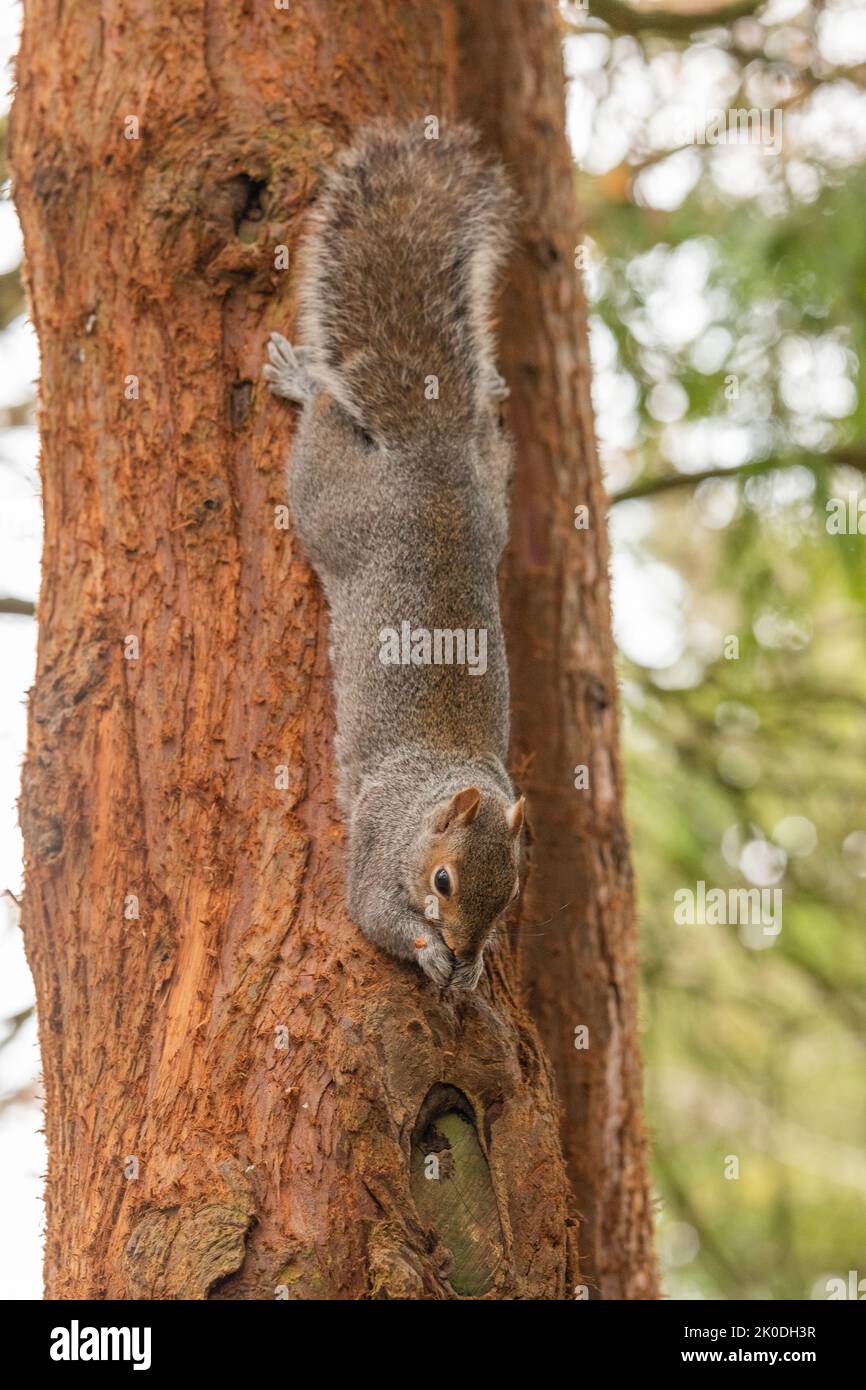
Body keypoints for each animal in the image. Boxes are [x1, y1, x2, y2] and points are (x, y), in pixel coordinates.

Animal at [262, 122, 522, 989]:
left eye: (512, 893)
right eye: (443, 880)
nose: (470, 949)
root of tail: (429, 455)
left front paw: (470, 972)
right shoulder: (377, 841)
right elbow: (372, 915)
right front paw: (428, 952)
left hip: (491, 501)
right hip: (332, 507)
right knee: (319, 426)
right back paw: (300, 377)